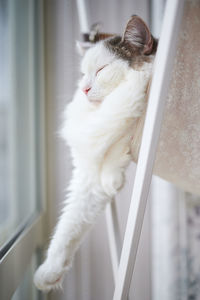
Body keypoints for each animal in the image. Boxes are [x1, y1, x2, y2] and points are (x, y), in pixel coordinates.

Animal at [33, 14, 157, 290]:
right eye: (83, 75)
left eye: (101, 70)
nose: (84, 90)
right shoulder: (87, 177)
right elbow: (68, 226)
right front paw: (49, 272)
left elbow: (127, 110)